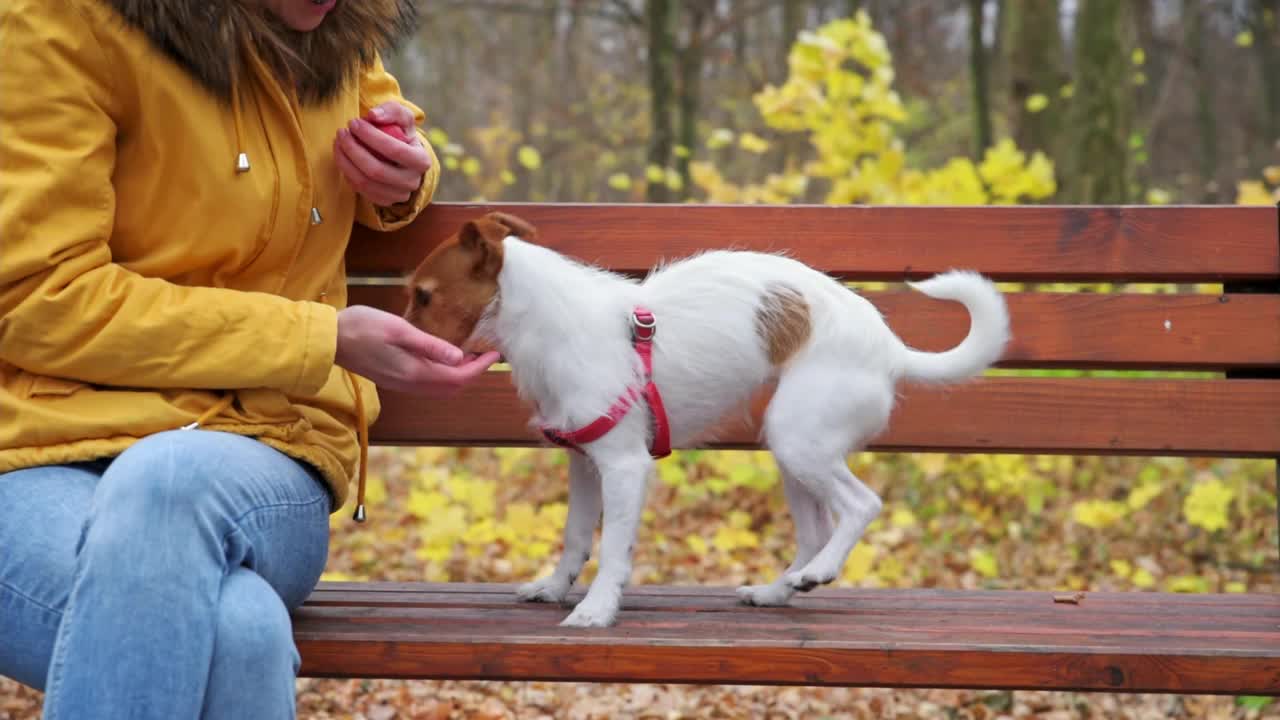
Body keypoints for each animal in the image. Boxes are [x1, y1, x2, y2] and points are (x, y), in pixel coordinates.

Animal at [399, 210, 1008, 625]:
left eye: (423, 296)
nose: (400, 338)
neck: (550, 324)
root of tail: (891, 348)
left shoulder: (623, 467)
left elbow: (612, 548)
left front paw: (596, 609)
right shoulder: (585, 463)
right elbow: (575, 538)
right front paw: (554, 588)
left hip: (801, 439)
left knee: (862, 505)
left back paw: (820, 572)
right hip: (792, 450)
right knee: (815, 530)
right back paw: (780, 589)